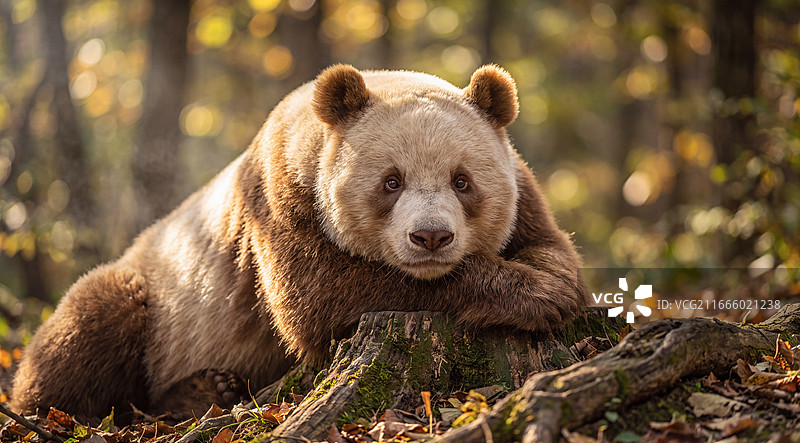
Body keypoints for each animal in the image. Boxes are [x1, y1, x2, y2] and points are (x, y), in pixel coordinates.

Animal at [10, 64, 587, 422]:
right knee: (94, 322)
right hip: (159, 301)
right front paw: (531, 297)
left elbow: (550, 245)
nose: (430, 237)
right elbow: (321, 296)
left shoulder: (522, 186)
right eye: (391, 181)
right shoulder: (280, 192)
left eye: (462, 181)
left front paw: (553, 287)